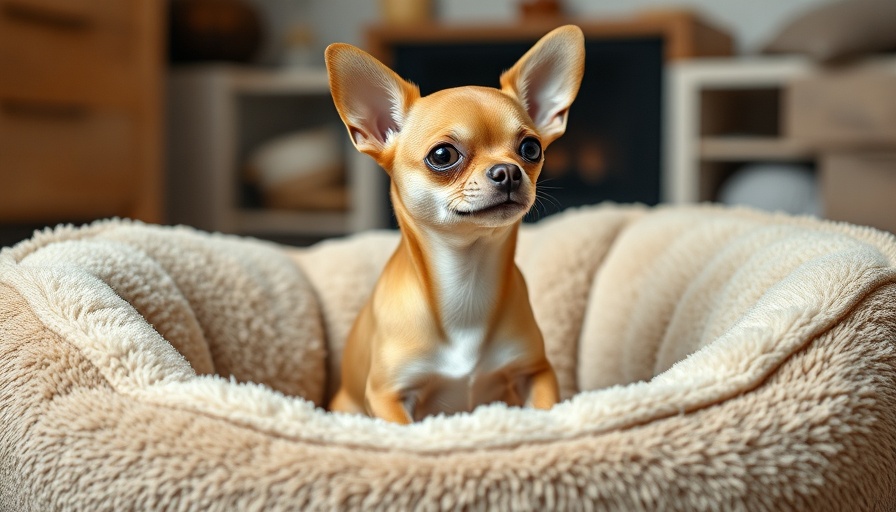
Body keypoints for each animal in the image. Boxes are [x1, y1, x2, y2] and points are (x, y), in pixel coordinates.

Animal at [326, 25, 584, 424]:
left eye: (531, 149)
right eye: (443, 155)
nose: (509, 172)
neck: (467, 281)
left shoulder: (537, 372)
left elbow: (544, 410)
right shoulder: (387, 397)